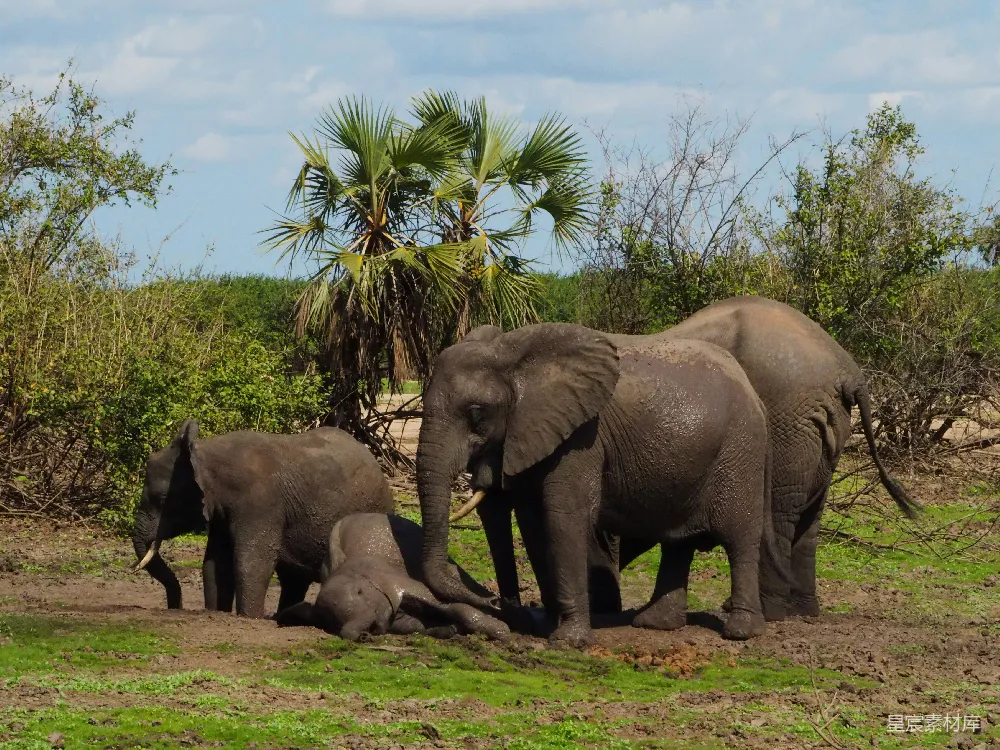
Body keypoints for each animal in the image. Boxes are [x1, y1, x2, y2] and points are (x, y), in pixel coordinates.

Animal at [131, 420, 395, 618]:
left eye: (162, 499)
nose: (175, 608)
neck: (203, 455)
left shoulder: (260, 503)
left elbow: (252, 563)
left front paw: (249, 618)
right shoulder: (221, 512)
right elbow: (215, 564)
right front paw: (217, 613)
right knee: (293, 581)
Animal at [276, 513, 511, 642]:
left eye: (360, 592)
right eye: (331, 623)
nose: (365, 635)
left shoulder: (396, 580)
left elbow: (451, 606)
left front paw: (506, 634)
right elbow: (414, 625)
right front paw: (446, 629)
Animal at [416, 322, 790, 647]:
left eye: (477, 413)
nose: (496, 601)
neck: (511, 355)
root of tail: (754, 394)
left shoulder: (583, 435)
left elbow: (564, 516)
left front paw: (568, 641)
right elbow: (534, 521)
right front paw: (550, 626)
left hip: (740, 450)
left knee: (738, 537)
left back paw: (741, 632)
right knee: (678, 541)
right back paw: (655, 624)